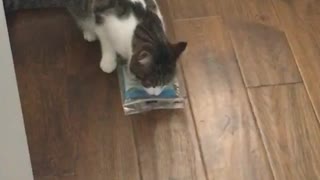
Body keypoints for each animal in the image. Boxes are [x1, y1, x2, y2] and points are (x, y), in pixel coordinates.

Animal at [3, 0, 188, 95]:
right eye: (150, 83)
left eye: (166, 83)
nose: (157, 94)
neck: (144, 23)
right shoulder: (102, 18)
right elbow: (106, 42)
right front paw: (108, 62)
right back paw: (89, 32)